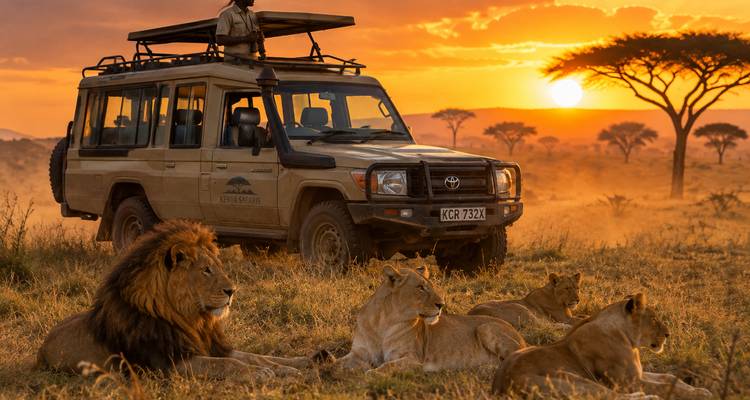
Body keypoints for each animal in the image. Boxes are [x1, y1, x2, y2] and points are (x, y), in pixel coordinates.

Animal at [37, 220, 313, 381]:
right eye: (206, 270)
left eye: (217, 266)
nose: (232, 291)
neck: (191, 320)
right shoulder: (171, 364)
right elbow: (228, 364)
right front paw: (261, 374)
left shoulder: (213, 346)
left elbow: (257, 356)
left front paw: (294, 365)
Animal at [331, 265, 526, 375]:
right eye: (420, 288)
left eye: (430, 286)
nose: (442, 304)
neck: (383, 322)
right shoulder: (358, 352)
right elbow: (335, 363)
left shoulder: (413, 359)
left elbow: (382, 369)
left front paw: (367, 372)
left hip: (485, 328)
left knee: (512, 359)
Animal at [492, 293, 712, 400]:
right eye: (654, 319)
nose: (668, 334)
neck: (627, 338)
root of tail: (501, 386)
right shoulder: (628, 382)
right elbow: (666, 385)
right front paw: (699, 394)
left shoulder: (638, 374)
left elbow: (669, 377)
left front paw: (700, 389)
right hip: (577, 381)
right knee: (610, 396)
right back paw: (649, 397)